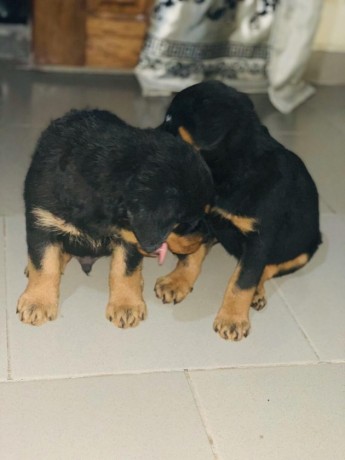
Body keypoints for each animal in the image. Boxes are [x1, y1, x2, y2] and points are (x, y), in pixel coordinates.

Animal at [18, 109, 214, 328]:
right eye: (187, 223)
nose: (207, 236)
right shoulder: (41, 221)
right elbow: (44, 265)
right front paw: (37, 302)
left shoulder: (131, 240)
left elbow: (124, 270)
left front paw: (126, 305)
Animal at [157, 81, 322, 342]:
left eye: (170, 120)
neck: (230, 171)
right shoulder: (207, 220)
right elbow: (191, 256)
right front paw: (176, 282)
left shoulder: (259, 240)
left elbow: (243, 280)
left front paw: (232, 319)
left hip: (304, 250)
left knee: (268, 269)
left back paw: (257, 293)